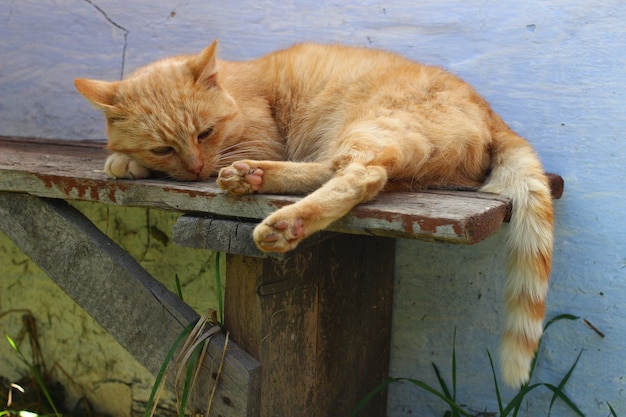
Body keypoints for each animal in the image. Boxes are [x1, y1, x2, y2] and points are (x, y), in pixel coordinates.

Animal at [73, 40, 552, 388]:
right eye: (162, 147)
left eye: (204, 133)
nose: (193, 169)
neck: (234, 86)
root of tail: (494, 115)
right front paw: (124, 161)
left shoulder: (259, 140)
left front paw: (128, 163)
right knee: (345, 170)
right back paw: (252, 177)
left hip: (368, 124)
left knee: (359, 174)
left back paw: (282, 219)